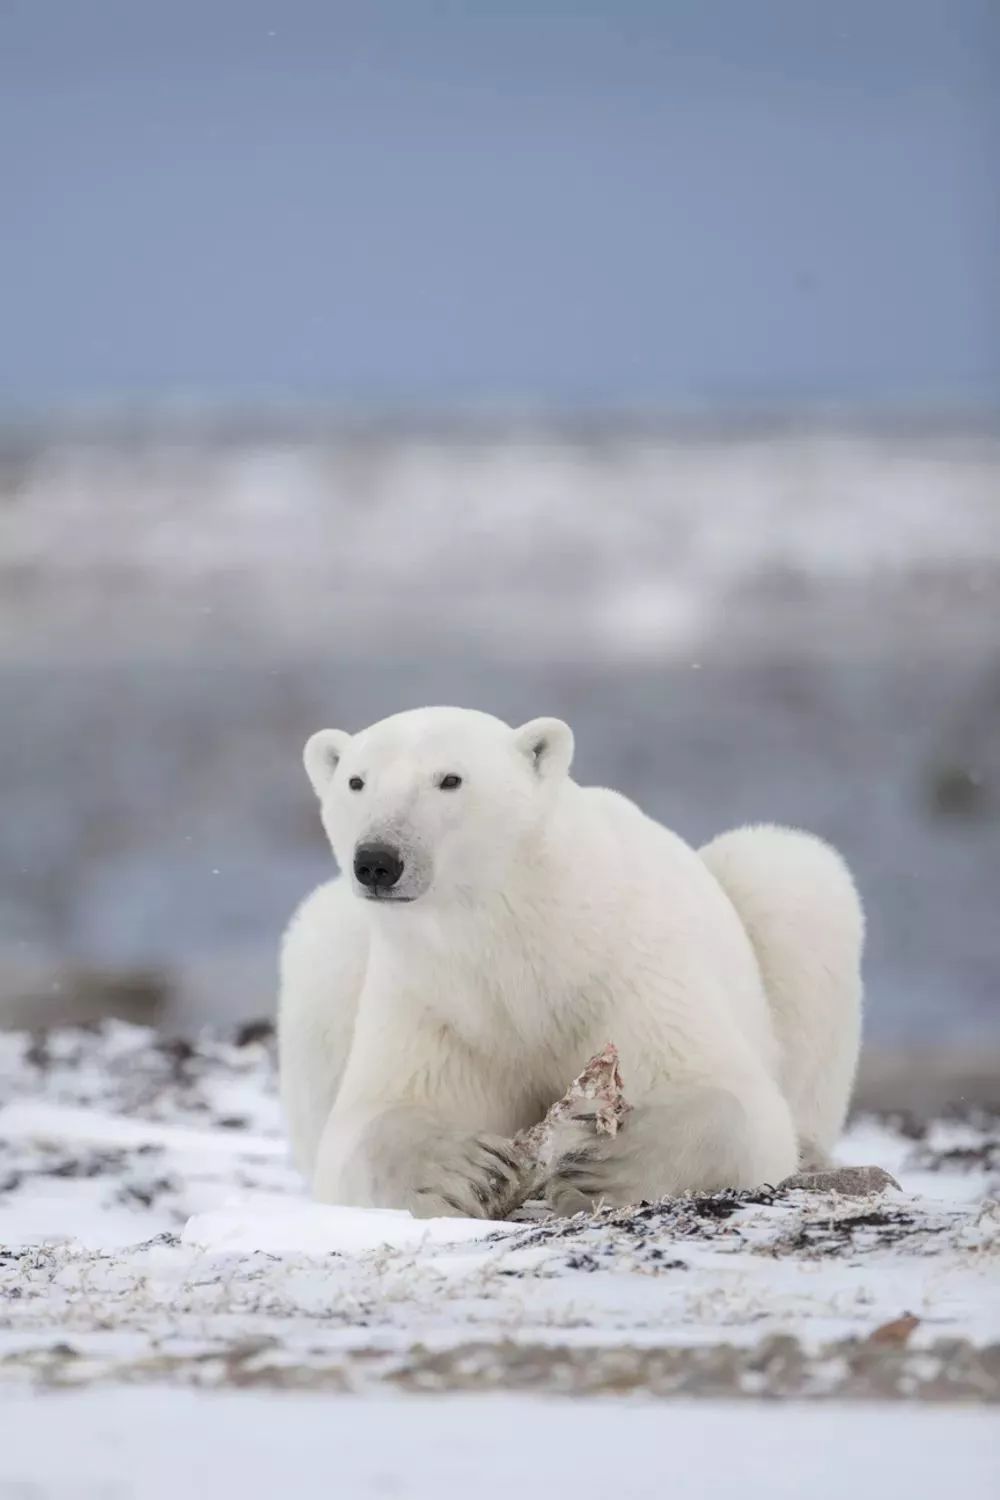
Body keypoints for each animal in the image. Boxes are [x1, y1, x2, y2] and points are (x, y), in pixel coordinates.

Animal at [277, 705, 863, 1218]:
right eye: (356, 782)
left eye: (450, 779)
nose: (377, 860)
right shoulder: (437, 1002)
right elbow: (371, 1121)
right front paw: (462, 1172)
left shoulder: (632, 967)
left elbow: (732, 1100)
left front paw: (607, 1169)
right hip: (337, 943)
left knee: (789, 874)